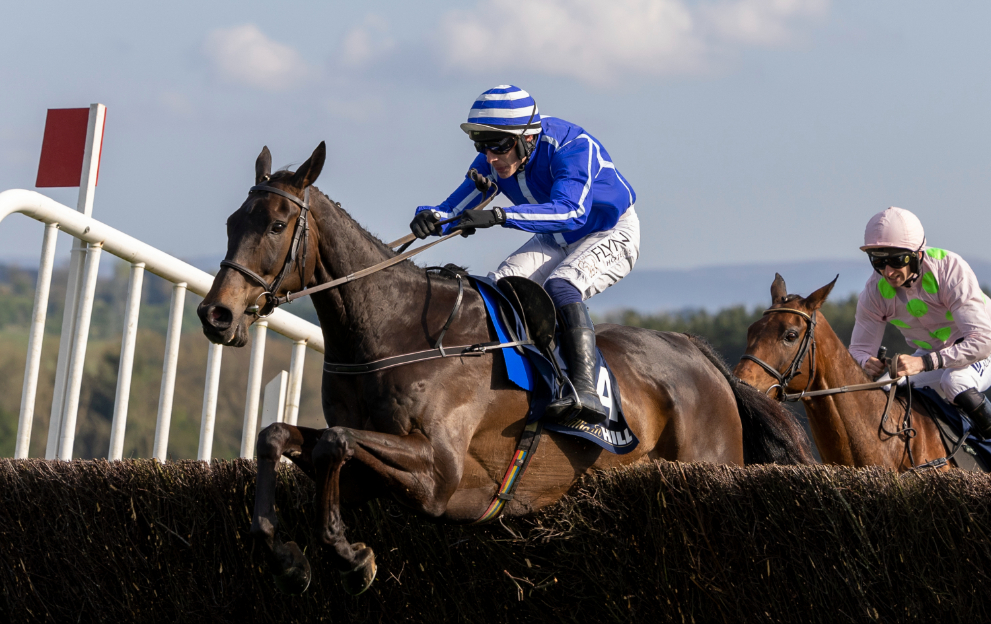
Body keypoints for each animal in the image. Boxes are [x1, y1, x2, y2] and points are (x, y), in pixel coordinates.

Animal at [196, 141, 812, 596]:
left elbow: (335, 443)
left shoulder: (441, 475)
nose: (216, 314)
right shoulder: (375, 475)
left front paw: (351, 558)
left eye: (276, 226)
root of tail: (695, 351)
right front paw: (288, 558)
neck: (397, 328)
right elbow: (277, 436)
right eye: (231, 221)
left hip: (711, 465)